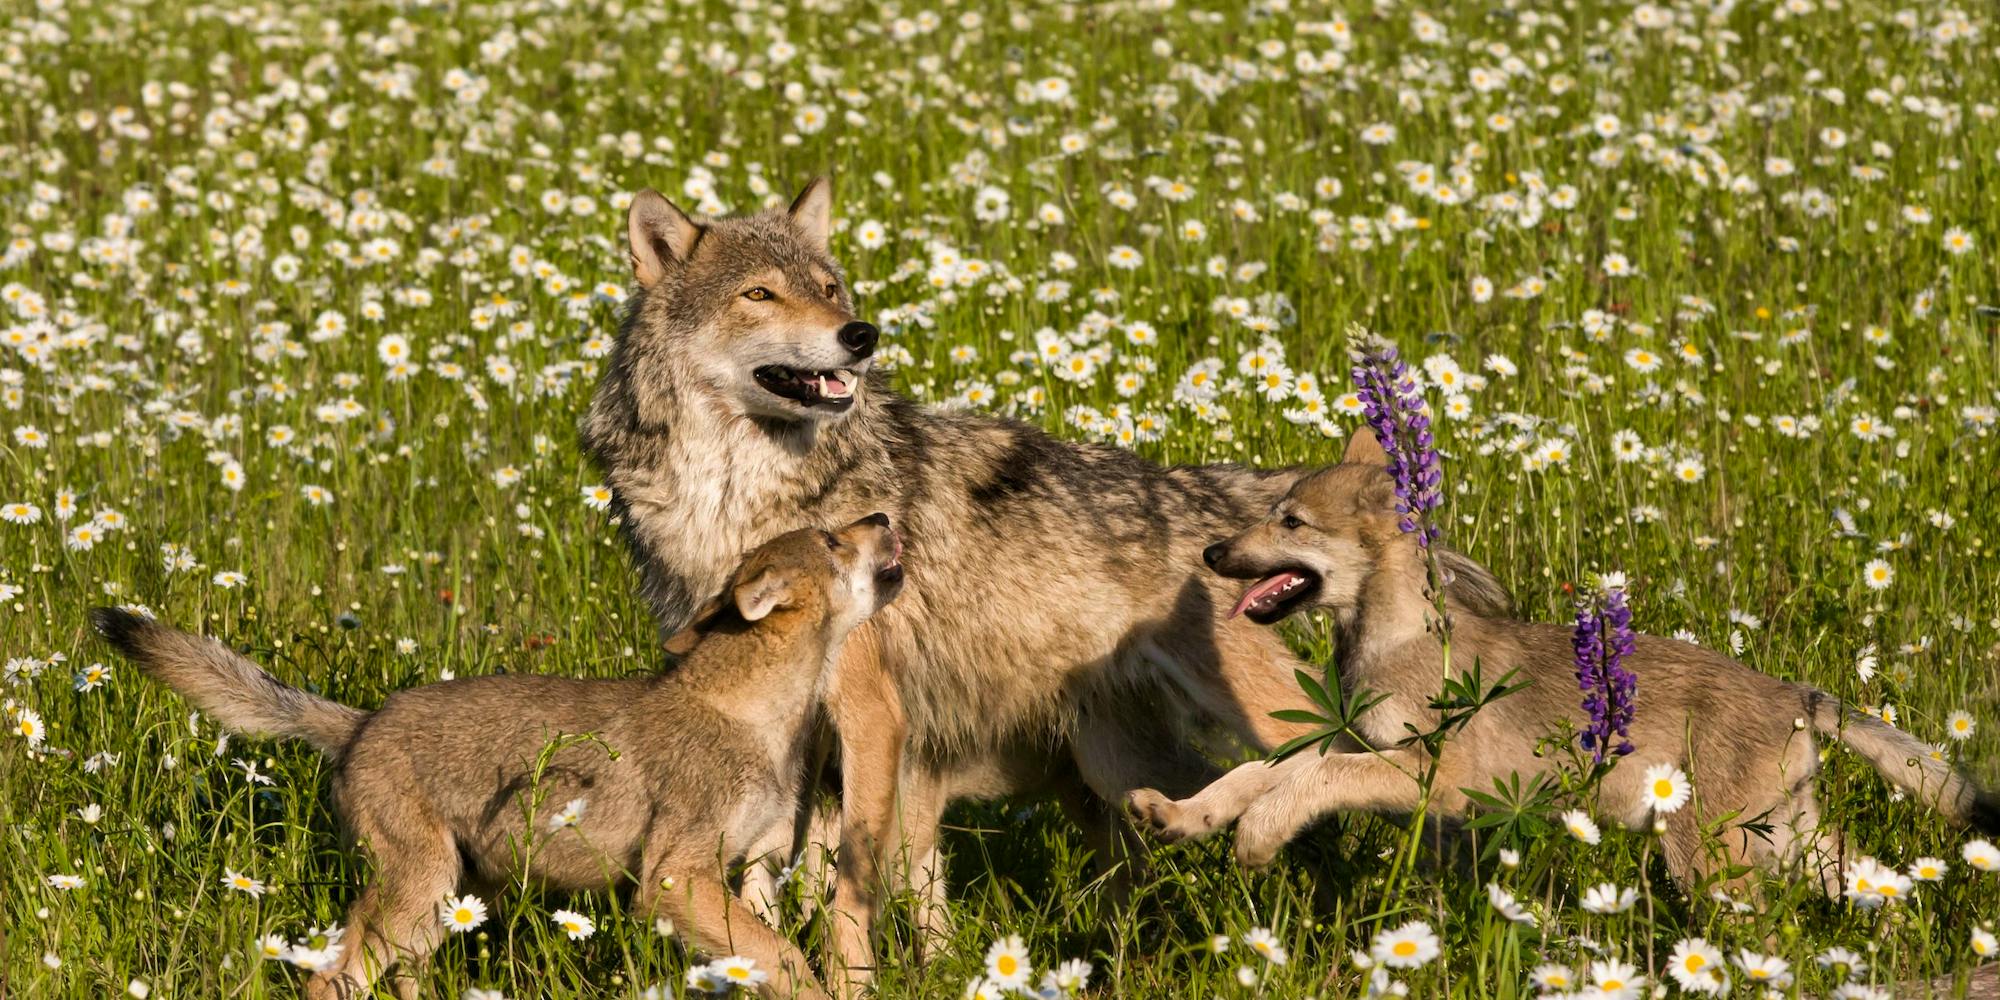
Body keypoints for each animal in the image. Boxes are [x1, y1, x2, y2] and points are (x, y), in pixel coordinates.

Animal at [580, 176, 1504, 980]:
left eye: (831, 288)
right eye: (761, 295)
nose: (861, 334)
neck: (742, 495)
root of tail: (1225, 503)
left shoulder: (872, 713)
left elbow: (849, 881)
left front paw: (850, 980)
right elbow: (773, 879)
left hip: (1271, 727)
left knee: (1344, 780)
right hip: (1114, 769)